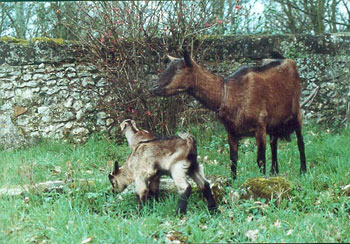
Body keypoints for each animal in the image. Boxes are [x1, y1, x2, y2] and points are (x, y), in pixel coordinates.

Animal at [152, 51, 304, 179]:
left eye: (178, 69)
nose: (153, 87)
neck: (228, 94)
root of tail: (289, 61)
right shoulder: (231, 131)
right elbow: (233, 159)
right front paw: (232, 181)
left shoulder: (260, 125)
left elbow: (260, 159)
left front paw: (262, 180)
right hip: (274, 123)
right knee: (274, 144)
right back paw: (274, 172)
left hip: (296, 111)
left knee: (300, 141)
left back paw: (303, 171)